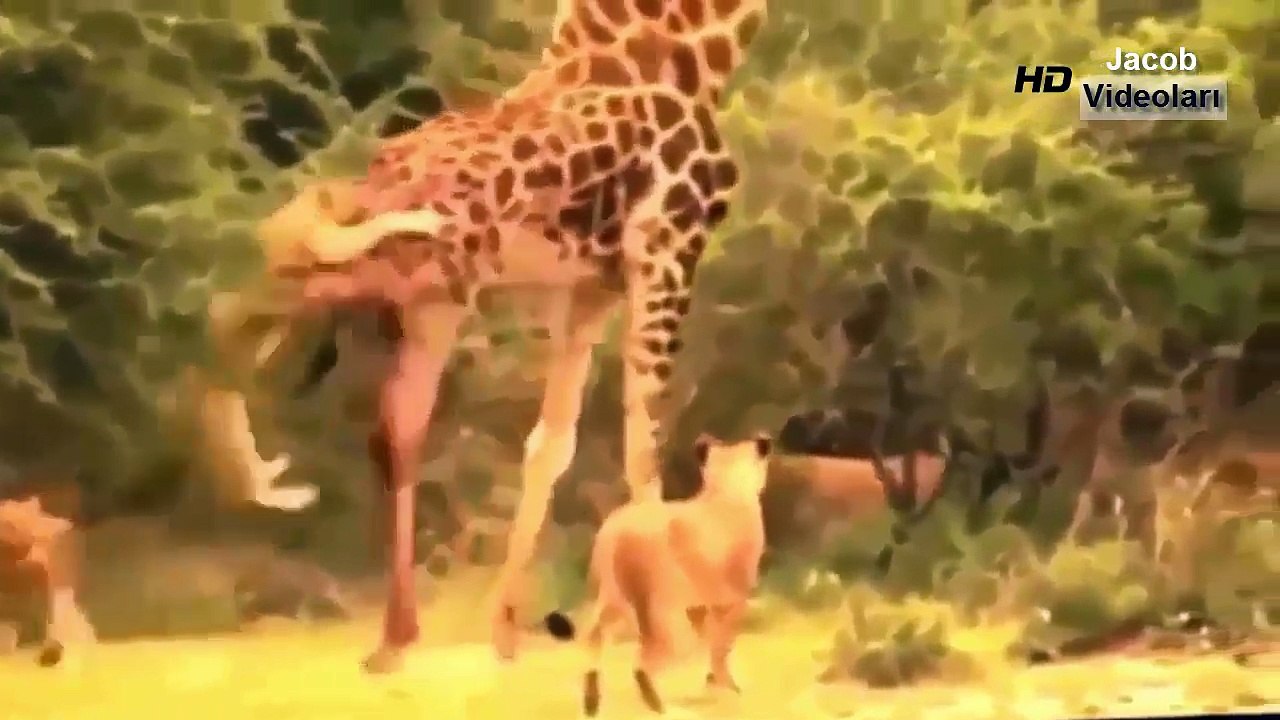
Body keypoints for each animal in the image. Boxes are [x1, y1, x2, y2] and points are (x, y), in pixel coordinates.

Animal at [204, 0, 766, 672]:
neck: (690, 49)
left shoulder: (590, 286)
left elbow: (550, 445)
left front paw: (504, 629)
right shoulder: (668, 248)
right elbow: (645, 444)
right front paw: (667, 630)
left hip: (431, 294)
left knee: (386, 410)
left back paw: (391, 631)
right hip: (416, 270)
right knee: (246, 297)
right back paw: (259, 481)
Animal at [543, 433, 772, 716]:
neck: (725, 490)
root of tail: (617, 531)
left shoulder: (701, 604)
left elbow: (712, 642)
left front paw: (713, 681)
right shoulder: (731, 600)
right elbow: (722, 644)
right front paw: (727, 685)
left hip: (611, 599)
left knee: (593, 639)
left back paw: (592, 702)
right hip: (662, 615)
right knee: (643, 662)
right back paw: (658, 706)